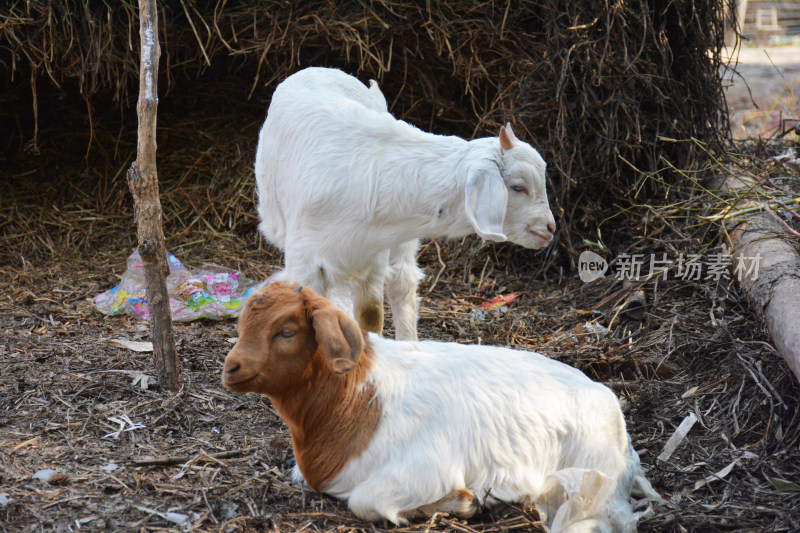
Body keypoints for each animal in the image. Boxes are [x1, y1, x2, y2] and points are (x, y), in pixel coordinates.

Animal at [222, 284, 660, 528]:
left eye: (287, 331)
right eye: (242, 325)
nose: (230, 368)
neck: (356, 399)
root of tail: (609, 404)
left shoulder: (421, 468)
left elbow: (365, 502)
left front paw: (463, 502)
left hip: (592, 477)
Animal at [256, 67, 556, 340]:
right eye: (518, 187)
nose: (550, 228)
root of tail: (321, 68)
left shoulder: (373, 256)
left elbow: (371, 316)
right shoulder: (305, 261)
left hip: (399, 244)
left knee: (403, 284)